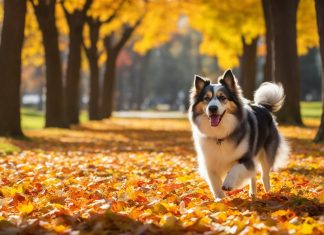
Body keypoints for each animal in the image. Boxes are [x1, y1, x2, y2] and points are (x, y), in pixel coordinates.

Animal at [189, 69, 290, 198]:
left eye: (222, 97)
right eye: (206, 98)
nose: (212, 108)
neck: (220, 135)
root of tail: (262, 106)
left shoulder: (247, 158)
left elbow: (235, 168)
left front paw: (228, 183)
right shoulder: (210, 164)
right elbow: (215, 183)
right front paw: (220, 199)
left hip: (267, 153)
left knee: (264, 174)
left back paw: (268, 192)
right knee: (253, 176)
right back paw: (253, 193)